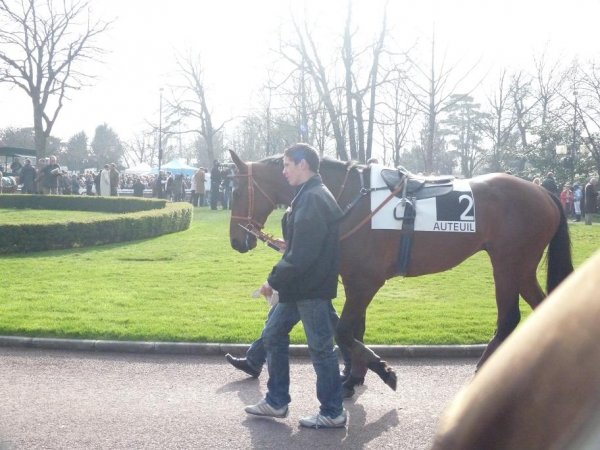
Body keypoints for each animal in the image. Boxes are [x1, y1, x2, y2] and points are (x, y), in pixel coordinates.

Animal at [229, 149, 572, 396]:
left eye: (236, 190)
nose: (236, 240)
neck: (347, 198)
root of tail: (543, 191)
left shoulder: (366, 281)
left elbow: (345, 331)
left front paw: (380, 371)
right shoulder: (355, 280)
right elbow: (354, 330)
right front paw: (354, 377)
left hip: (508, 263)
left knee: (509, 318)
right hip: (521, 268)